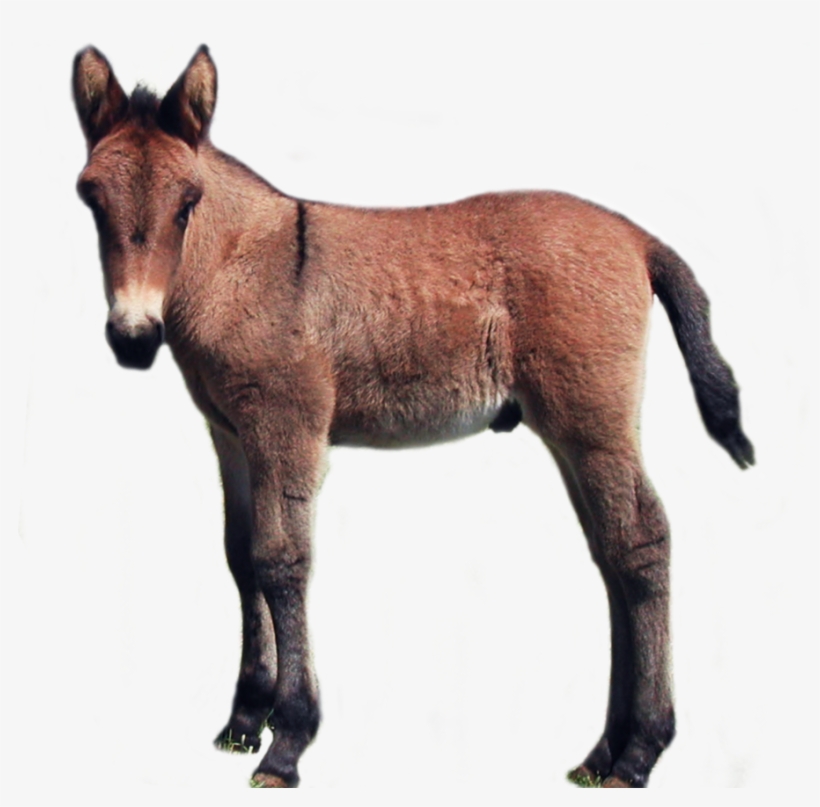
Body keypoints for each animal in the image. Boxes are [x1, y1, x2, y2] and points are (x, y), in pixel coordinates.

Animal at [72, 45, 753, 788]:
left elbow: (281, 562)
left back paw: (640, 751)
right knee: (612, 554)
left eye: (187, 204)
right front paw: (244, 721)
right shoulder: (231, 436)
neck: (239, 267)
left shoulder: (287, 429)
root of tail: (637, 236)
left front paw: (288, 739)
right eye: (91, 198)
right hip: (570, 430)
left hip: (593, 422)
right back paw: (604, 752)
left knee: (642, 543)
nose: (133, 338)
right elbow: (239, 558)